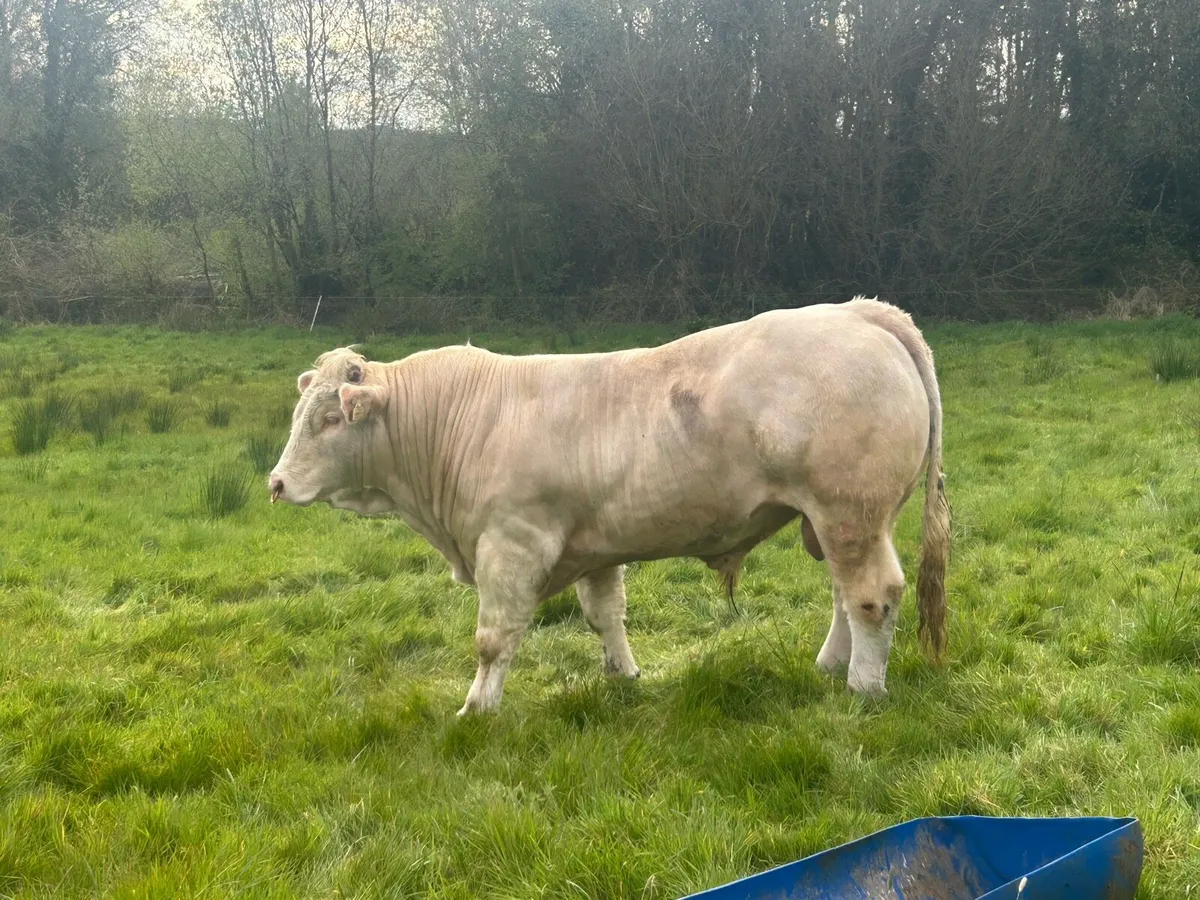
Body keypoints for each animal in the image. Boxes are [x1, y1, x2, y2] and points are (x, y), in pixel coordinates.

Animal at [268, 296, 950, 716]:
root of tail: (859, 312)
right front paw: (622, 675)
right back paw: (830, 665)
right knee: (844, 594)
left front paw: (477, 708)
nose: (275, 484)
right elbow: (605, 615)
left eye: (330, 419)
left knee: (872, 595)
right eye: (303, 412)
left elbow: (493, 638)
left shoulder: (511, 546)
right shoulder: (593, 547)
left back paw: (863, 687)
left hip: (849, 512)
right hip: (838, 520)